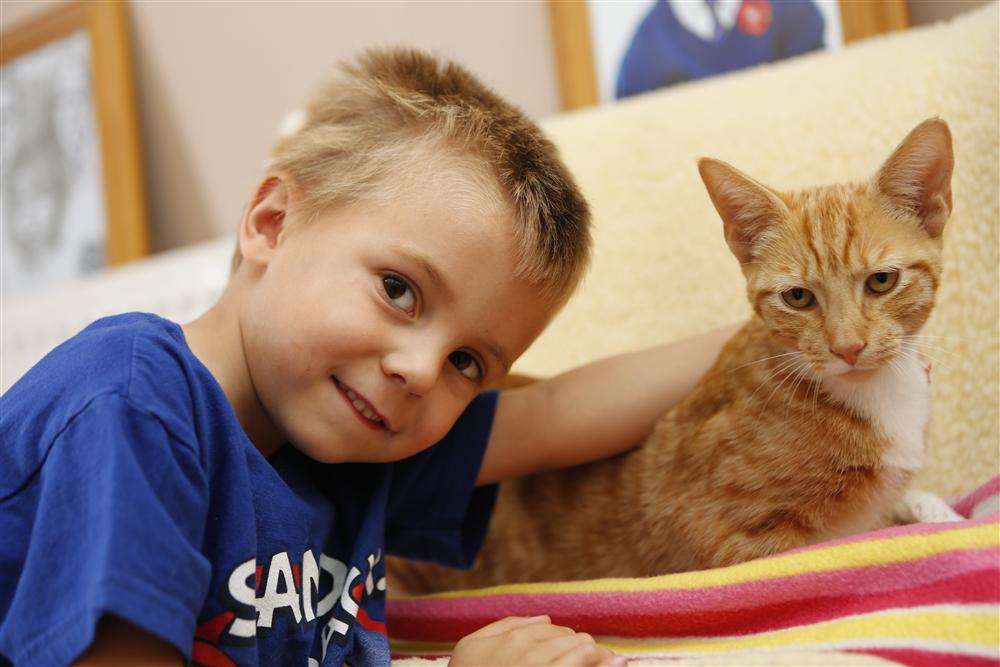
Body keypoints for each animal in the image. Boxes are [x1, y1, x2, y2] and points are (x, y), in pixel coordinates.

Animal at [390, 118, 960, 596]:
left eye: (881, 281)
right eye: (798, 297)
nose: (848, 347)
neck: (876, 395)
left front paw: (930, 509)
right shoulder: (727, 545)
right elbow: (831, 546)